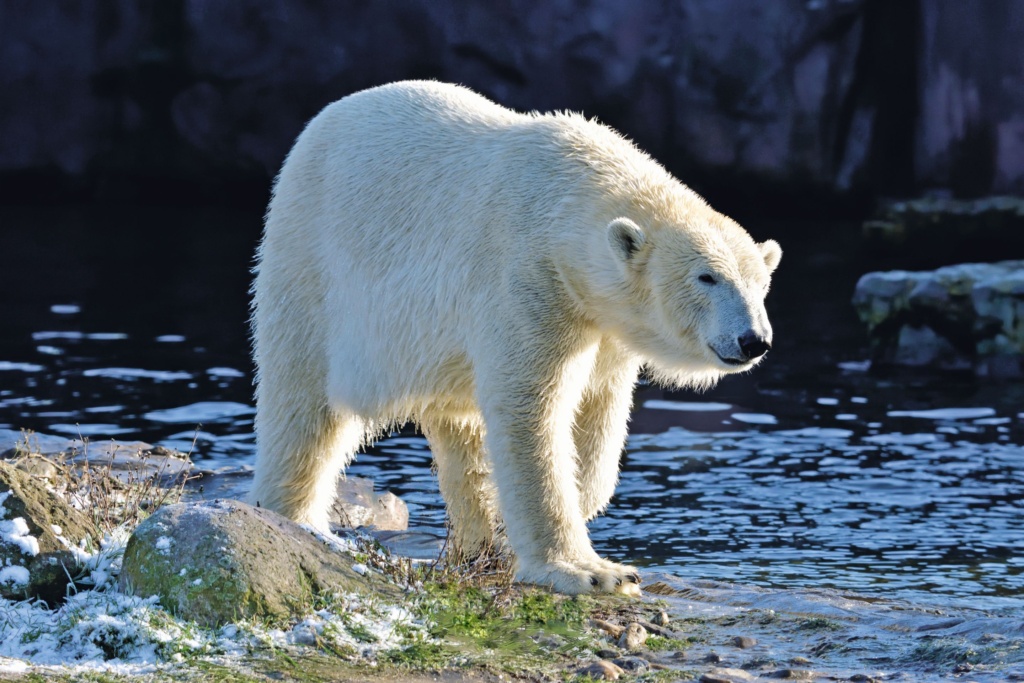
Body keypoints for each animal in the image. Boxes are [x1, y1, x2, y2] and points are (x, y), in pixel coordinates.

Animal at [251, 78, 778, 593]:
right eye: (707, 277)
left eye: (760, 282)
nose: (753, 340)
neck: (567, 200)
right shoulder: (528, 278)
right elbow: (530, 408)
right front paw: (591, 571)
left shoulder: (605, 325)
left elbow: (599, 411)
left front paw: (567, 507)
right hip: (311, 264)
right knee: (303, 407)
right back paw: (290, 516)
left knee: (458, 429)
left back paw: (479, 543)